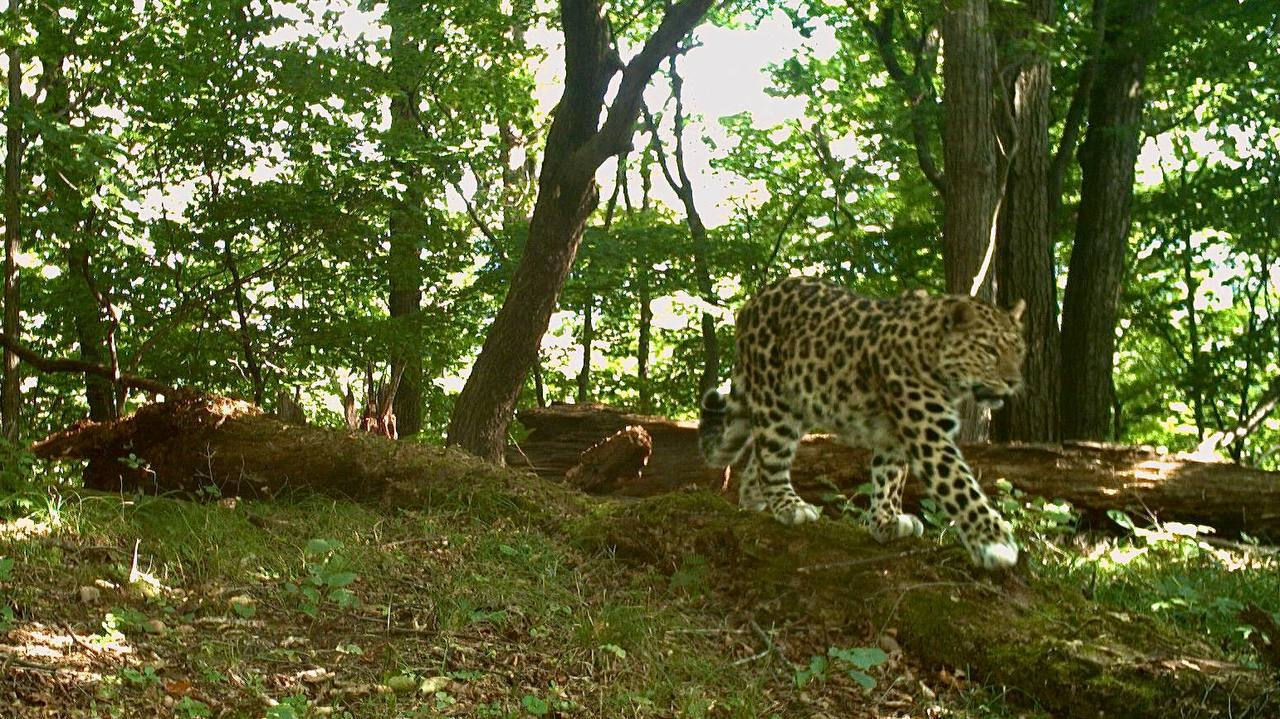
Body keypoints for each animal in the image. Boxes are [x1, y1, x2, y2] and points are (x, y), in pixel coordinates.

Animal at [696, 272, 1024, 565]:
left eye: (1019, 351)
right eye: (989, 350)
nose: (1013, 382)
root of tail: (752, 301)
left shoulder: (895, 435)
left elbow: (890, 478)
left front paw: (886, 522)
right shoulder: (927, 434)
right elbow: (960, 486)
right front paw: (994, 542)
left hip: (798, 401)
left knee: (761, 454)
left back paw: (754, 501)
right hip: (775, 399)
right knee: (772, 456)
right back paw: (789, 505)